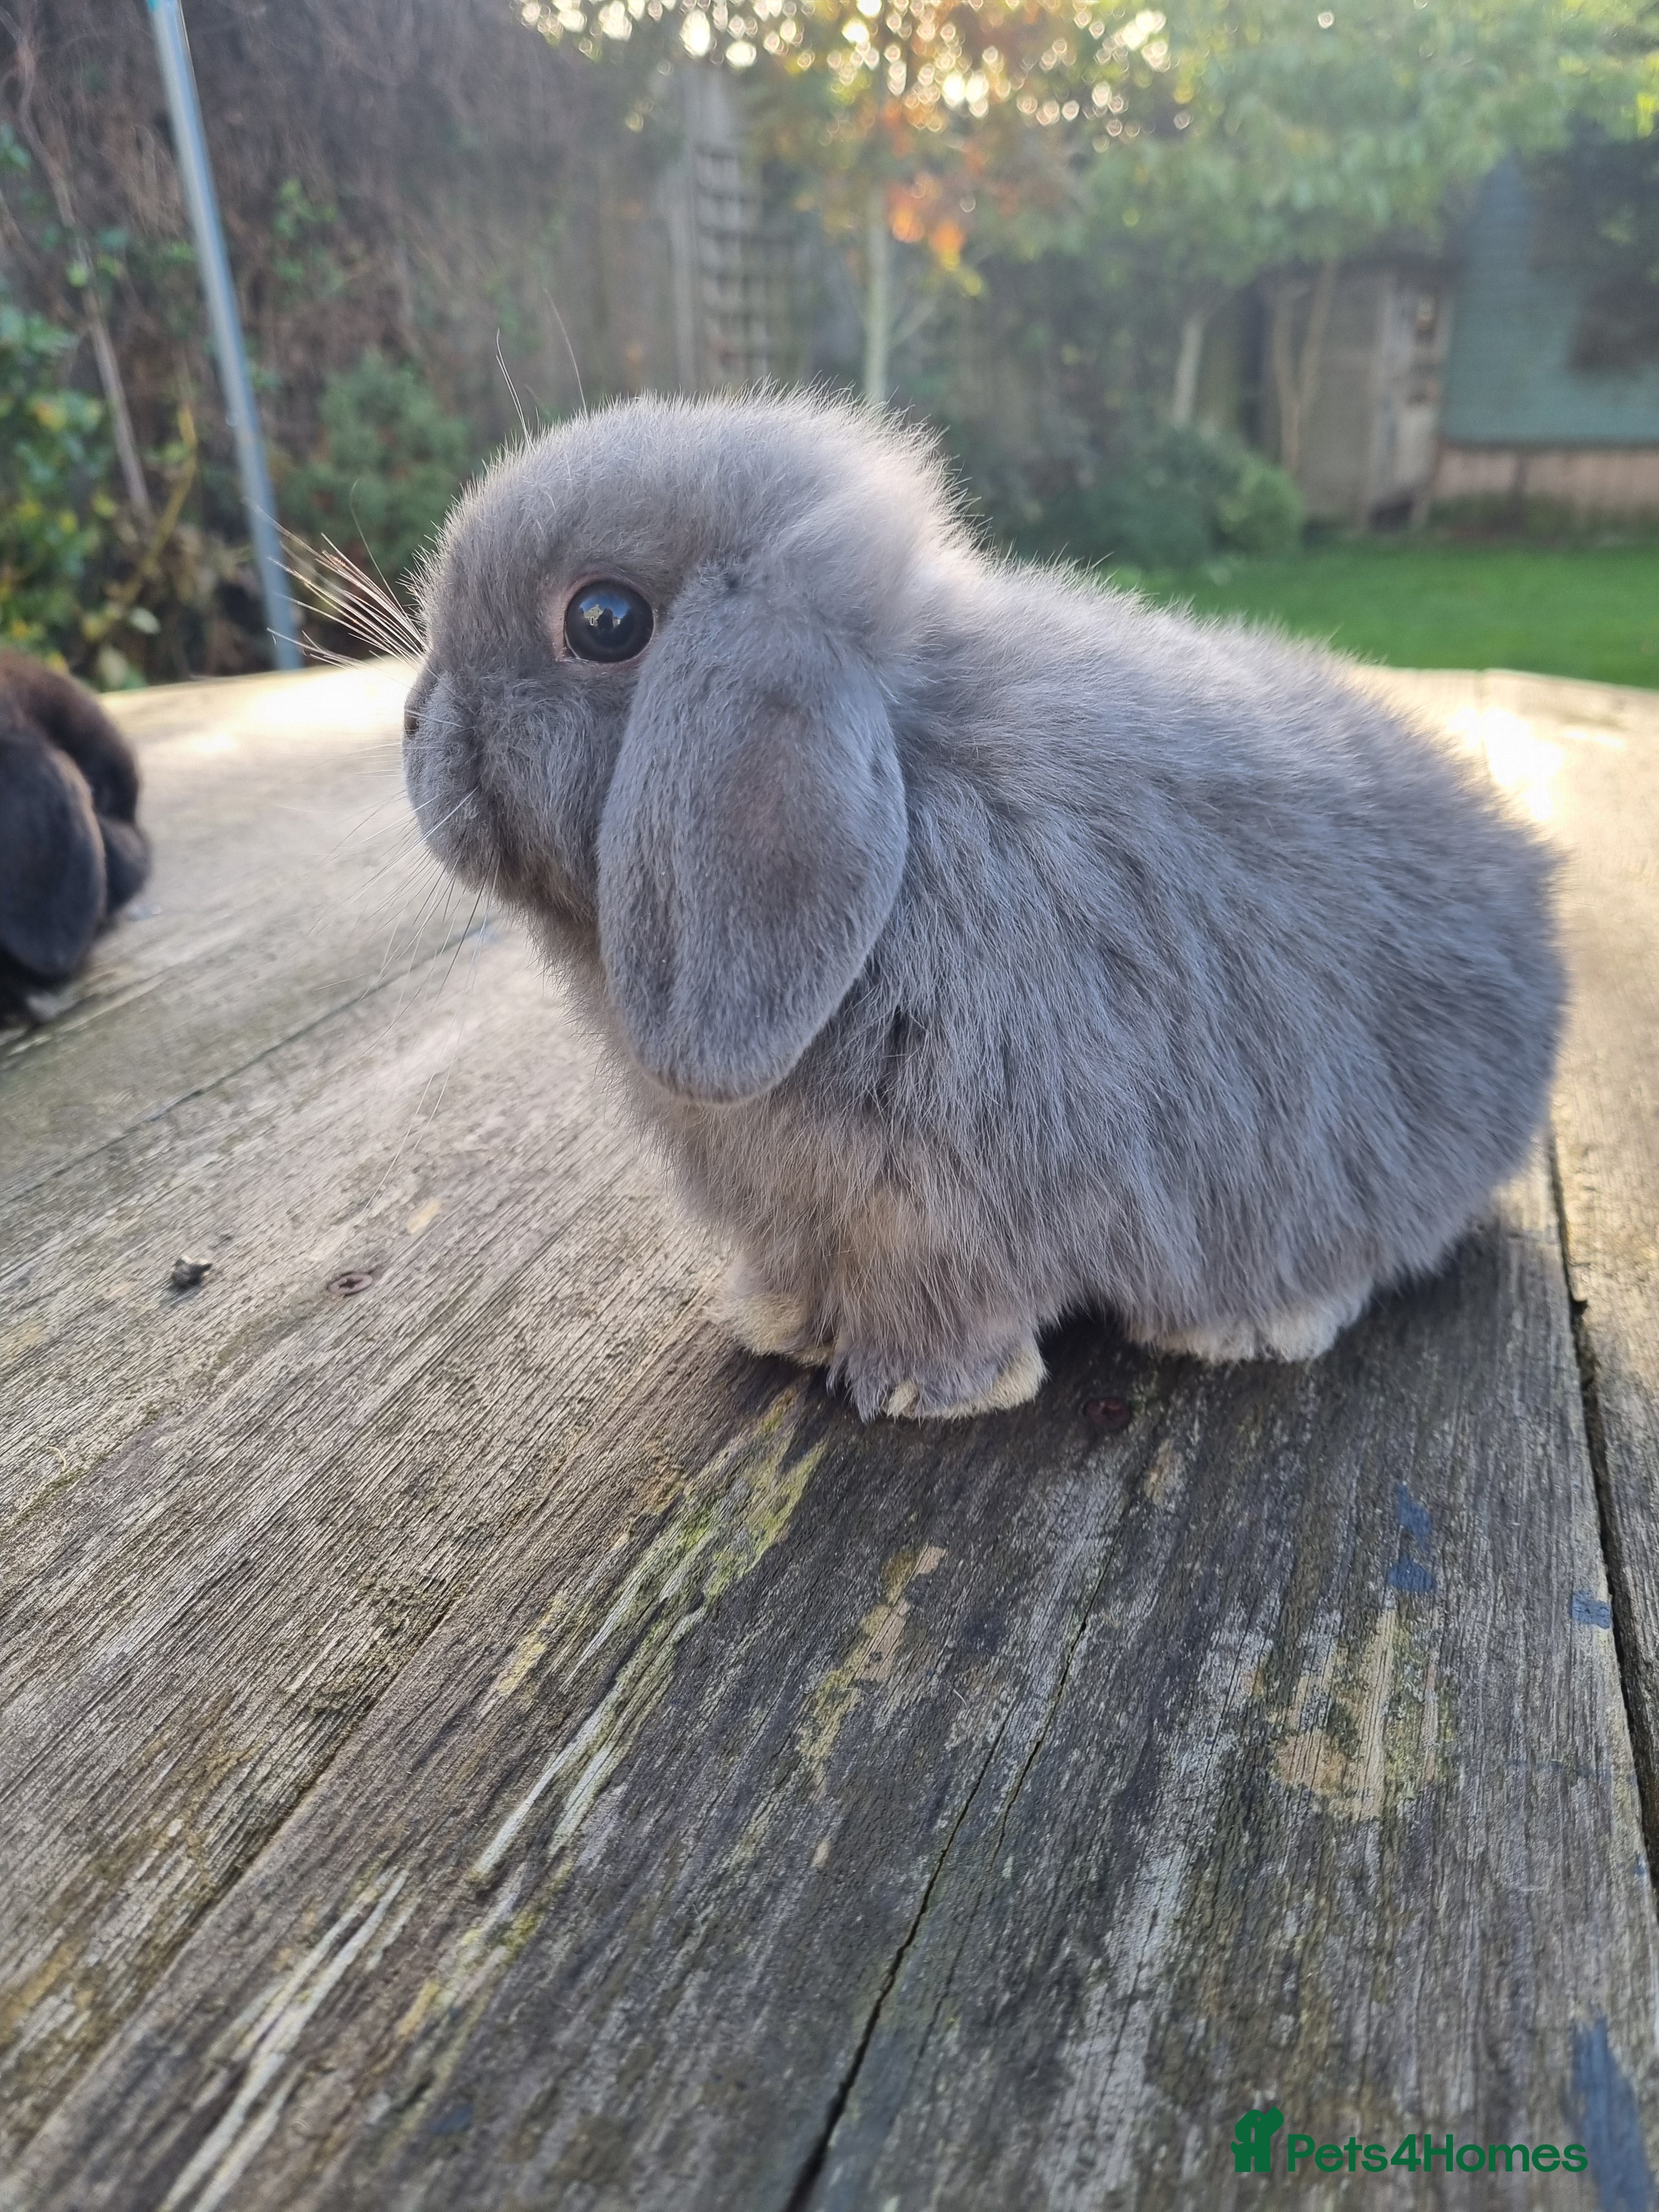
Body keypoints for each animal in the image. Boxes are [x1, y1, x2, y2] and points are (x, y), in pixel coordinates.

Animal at [402, 392, 1563, 1420]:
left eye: (605, 622)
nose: (415, 721)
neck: (916, 791)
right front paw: (778, 1322)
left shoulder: (945, 1207)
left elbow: (945, 1303)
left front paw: (921, 1390)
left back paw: (1245, 1324)